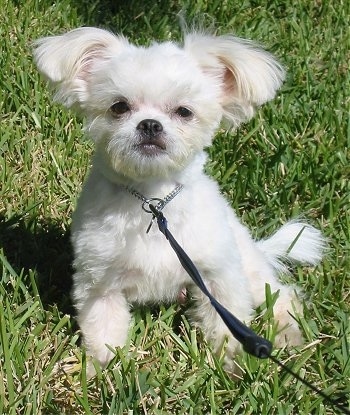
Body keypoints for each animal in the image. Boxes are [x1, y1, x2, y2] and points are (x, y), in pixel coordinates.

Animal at [33, 27, 326, 372]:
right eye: (119, 107)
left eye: (184, 112)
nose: (149, 124)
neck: (154, 201)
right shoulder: (100, 282)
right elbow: (103, 329)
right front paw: (101, 370)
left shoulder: (218, 276)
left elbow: (226, 322)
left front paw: (231, 365)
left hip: (248, 267)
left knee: (280, 294)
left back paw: (287, 330)